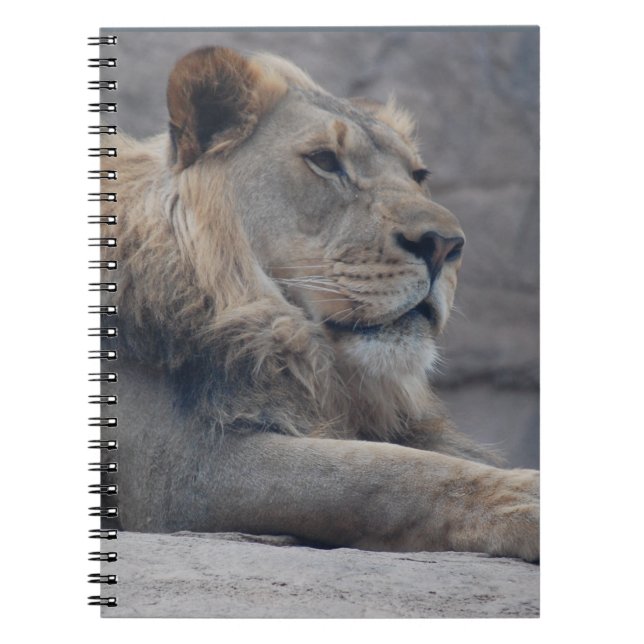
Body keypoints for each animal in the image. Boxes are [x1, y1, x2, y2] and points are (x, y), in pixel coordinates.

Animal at [101, 46, 539, 561]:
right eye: (326, 161)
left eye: (418, 175)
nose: (445, 245)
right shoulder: (175, 474)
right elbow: (381, 471)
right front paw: (526, 498)